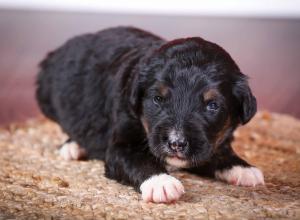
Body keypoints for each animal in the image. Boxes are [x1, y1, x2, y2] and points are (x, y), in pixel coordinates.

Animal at [36, 26, 264, 204]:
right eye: (158, 99)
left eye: (212, 105)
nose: (176, 143)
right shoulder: (121, 145)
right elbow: (139, 160)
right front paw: (161, 182)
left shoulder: (208, 142)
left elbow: (217, 152)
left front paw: (243, 168)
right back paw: (73, 146)